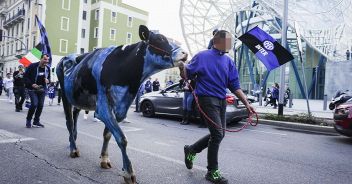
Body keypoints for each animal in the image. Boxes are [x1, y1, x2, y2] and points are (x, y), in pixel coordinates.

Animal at [55, 25, 187, 183]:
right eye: (160, 39)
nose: (185, 53)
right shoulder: (102, 108)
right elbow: (122, 138)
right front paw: (128, 172)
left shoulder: (120, 108)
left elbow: (108, 134)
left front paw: (104, 159)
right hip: (64, 94)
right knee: (69, 121)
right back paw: (73, 149)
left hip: (79, 97)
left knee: (75, 116)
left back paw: (73, 139)